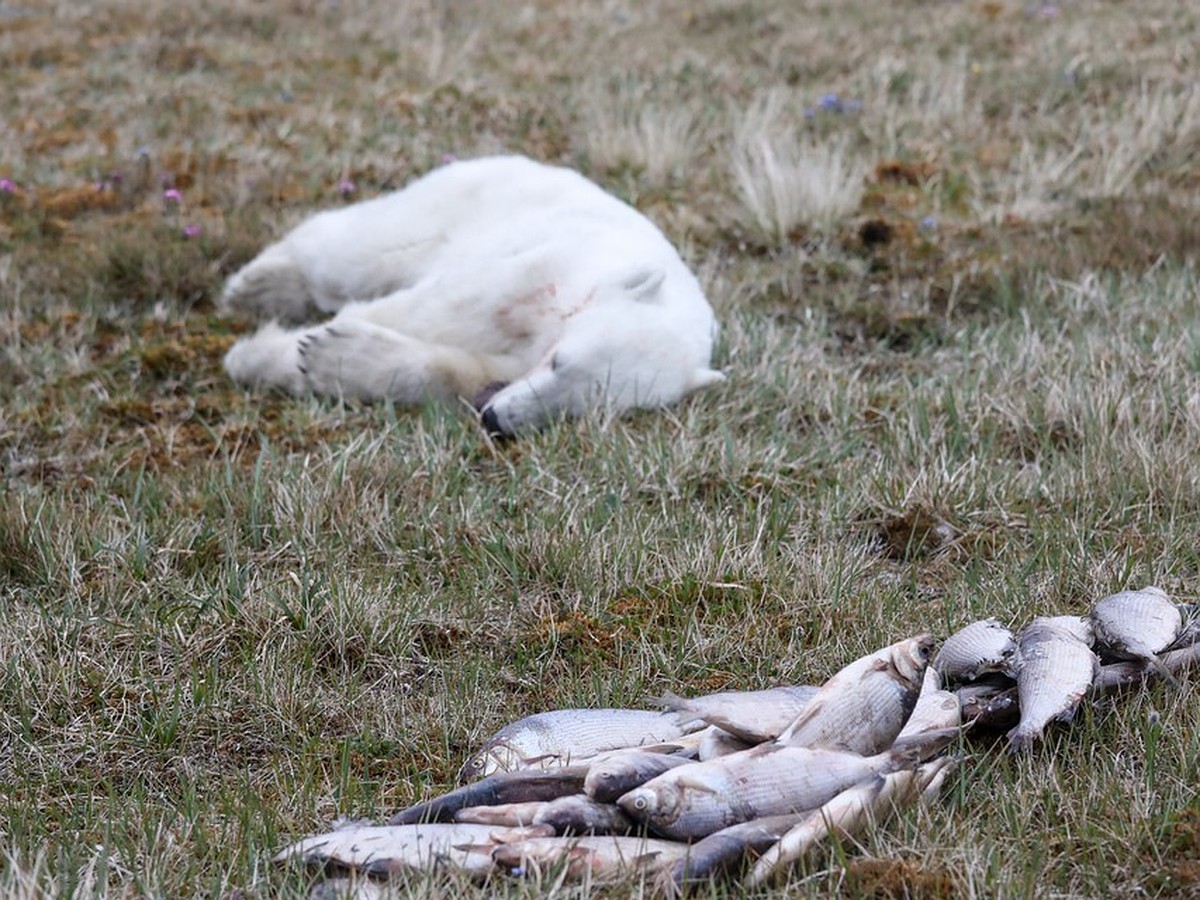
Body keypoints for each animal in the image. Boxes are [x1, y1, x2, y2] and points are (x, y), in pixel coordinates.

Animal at [220, 154, 720, 436]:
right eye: (559, 361)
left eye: (583, 409)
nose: (496, 421)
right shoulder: (550, 267)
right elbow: (441, 310)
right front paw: (263, 355)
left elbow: (466, 370)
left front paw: (333, 356)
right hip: (448, 207)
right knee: (353, 250)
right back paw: (254, 285)